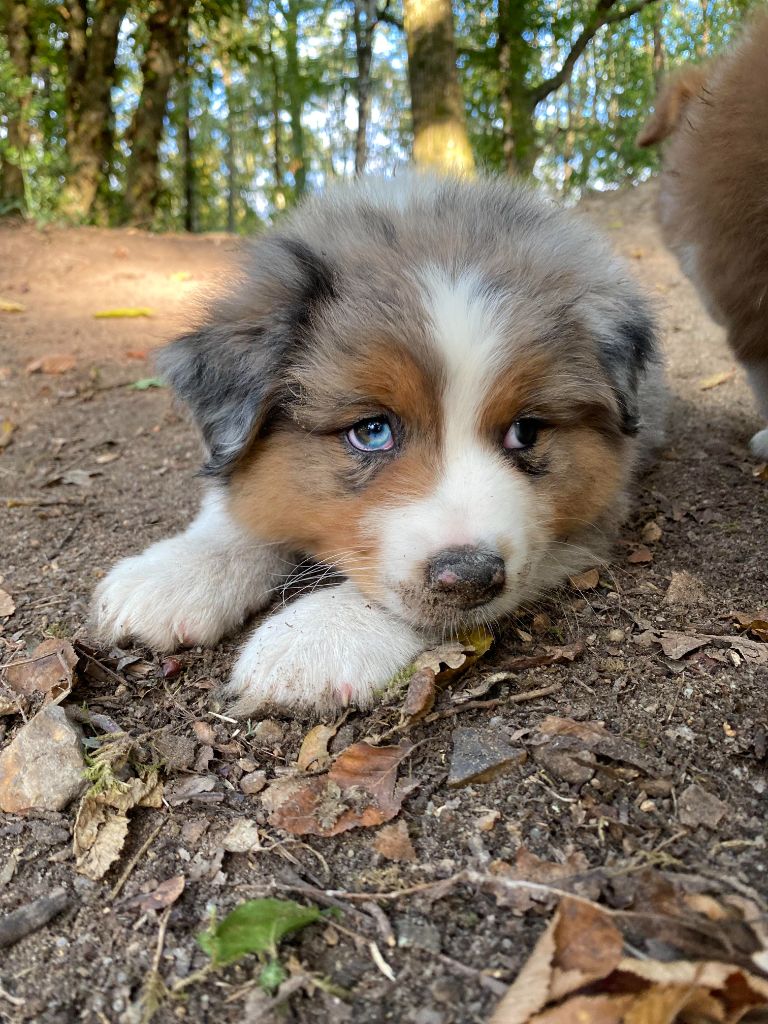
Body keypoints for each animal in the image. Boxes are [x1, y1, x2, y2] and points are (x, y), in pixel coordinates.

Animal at [91, 174, 665, 716]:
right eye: (371, 431)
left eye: (525, 431)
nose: (471, 577)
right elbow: (239, 507)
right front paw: (176, 574)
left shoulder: (592, 514)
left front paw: (321, 637)